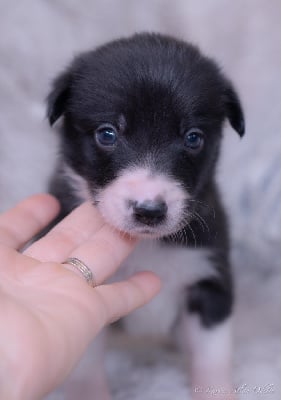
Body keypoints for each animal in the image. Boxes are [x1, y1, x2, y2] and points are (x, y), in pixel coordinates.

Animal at [46, 32, 243, 398]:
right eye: (107, 133)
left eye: (193, 138)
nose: (149, 210)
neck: (147, 247)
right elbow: (86, 371)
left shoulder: (208, 280)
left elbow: (212, 357)